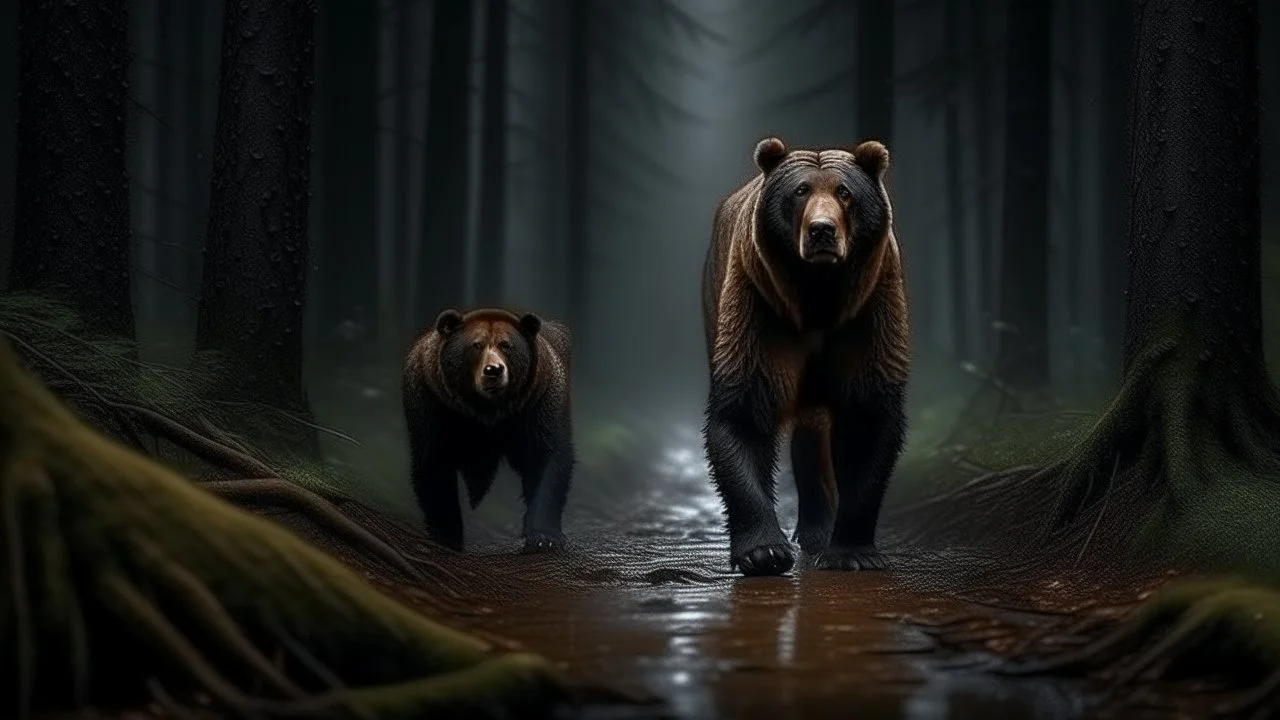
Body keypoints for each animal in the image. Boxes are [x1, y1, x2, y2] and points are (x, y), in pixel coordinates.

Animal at [401, 307, 575, 553]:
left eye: (506, 345)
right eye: (476, 344)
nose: (493, 370)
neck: (487, 410)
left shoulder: (540, 400)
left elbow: (548, 458)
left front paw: (545, 537)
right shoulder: (430, 400)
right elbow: (434, 465)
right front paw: (448, 537)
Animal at [701, 136, 911, 577]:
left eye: (845, 192)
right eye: (800, 191)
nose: (821, 230)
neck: (818, 297)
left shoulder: (869, 310)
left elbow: (866, 417)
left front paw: (852, 551)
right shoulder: (759, 305)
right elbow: (743, 413)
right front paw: (763, 551)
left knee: (811, 433)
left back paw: (817, 530)